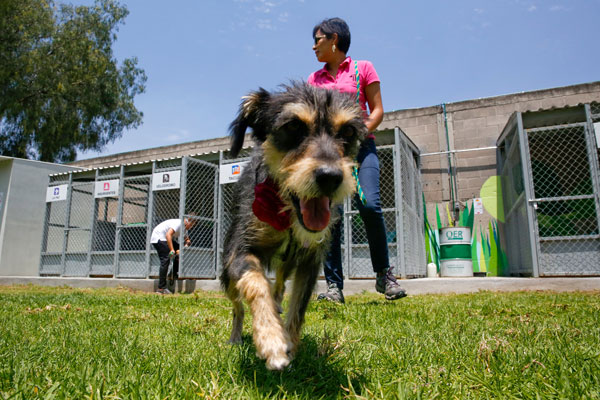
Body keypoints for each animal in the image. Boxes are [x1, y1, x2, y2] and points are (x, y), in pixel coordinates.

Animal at [220, 82, 366, 372]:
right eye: (293, 126)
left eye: (348, 131)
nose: (331, 177)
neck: (287, 216)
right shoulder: (240, 252)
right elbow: (256, 284)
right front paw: (271, 340)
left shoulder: (310, 262)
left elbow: (298, 308)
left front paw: (289, 342)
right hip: (227, 276)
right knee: (238, 305)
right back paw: (236, 337)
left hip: (287, 264)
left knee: (278, 288)